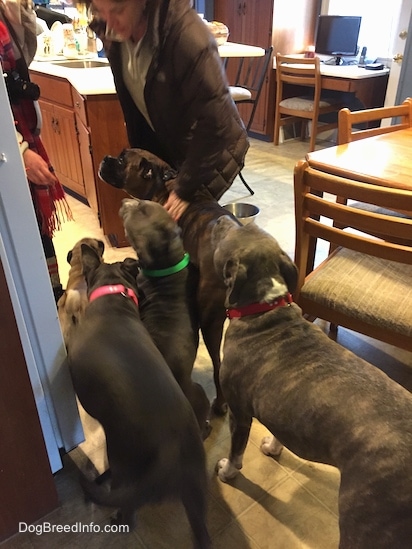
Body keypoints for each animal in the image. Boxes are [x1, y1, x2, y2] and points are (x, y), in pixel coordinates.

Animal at [67, 246, 212, 544]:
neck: (113, 295)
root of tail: (172, 447)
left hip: (122, 458)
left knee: (128, 507)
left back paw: (117, 519)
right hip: (195, 491)